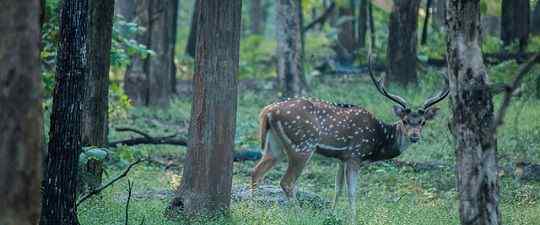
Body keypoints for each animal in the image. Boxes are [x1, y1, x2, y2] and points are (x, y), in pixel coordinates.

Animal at [251, 58, 450, 218]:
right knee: (287, 182)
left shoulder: (342, 158)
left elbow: (338, 188)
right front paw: (352, 218)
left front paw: (332, 214)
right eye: (405, 120)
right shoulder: (355, 154)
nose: (415, 136)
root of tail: (267, 111)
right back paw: (298, 215)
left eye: (423, 122)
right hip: (302, 145)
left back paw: (254, 209)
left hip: (274, 146)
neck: (379, 140)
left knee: (256, 172)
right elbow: (352, 191)